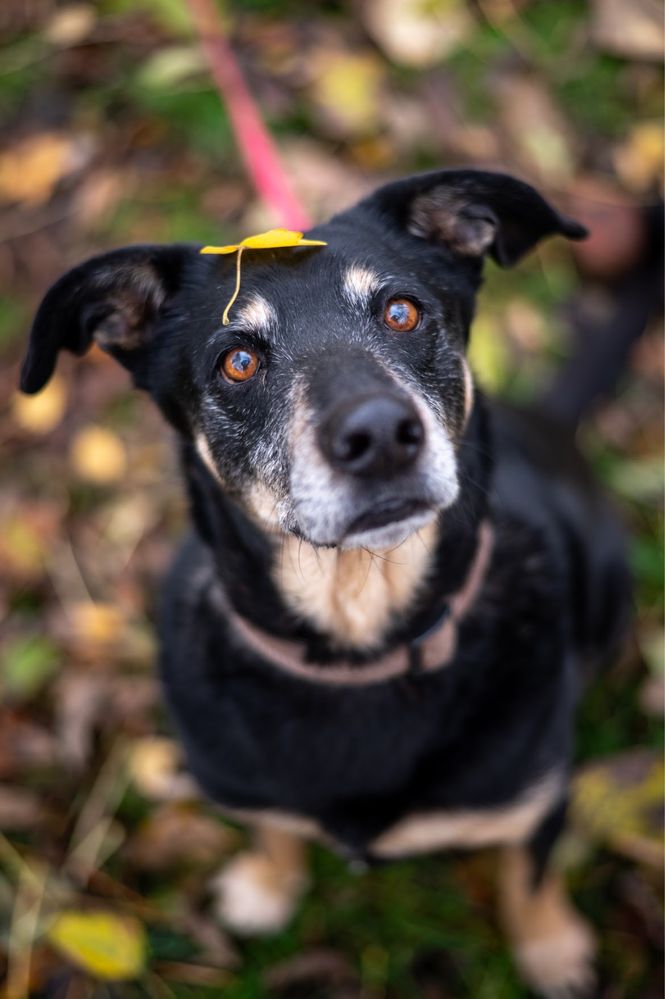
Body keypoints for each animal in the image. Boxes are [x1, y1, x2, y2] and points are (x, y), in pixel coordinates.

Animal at [20, 168, 632, 996]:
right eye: (237, 361)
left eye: (401, 312)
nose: (378, 435)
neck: (358, 640)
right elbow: (275, 828)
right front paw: (266, 884)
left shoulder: (536, 796)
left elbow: (528, 876)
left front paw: (551, 949)